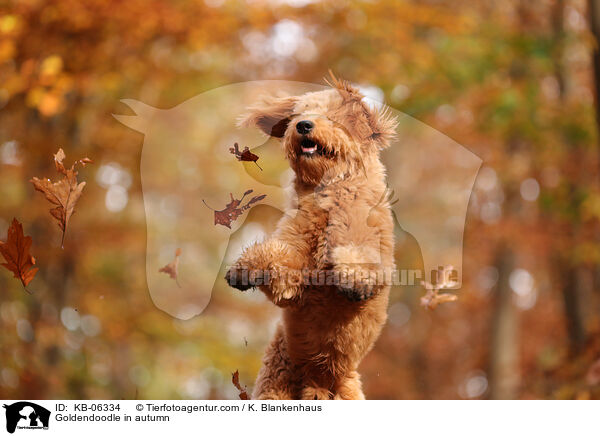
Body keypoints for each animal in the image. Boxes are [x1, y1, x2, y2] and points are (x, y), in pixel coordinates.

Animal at [225, 75, 398, 398]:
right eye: (298, 114)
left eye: (332, 116)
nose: (303, 125)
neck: (328, 193)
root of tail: (319, 380)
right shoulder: (295, 268)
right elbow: (277, 258)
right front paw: (244, 270)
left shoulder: (370, 248)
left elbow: (357, 257)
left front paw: (353, 279)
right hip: (275, 381)